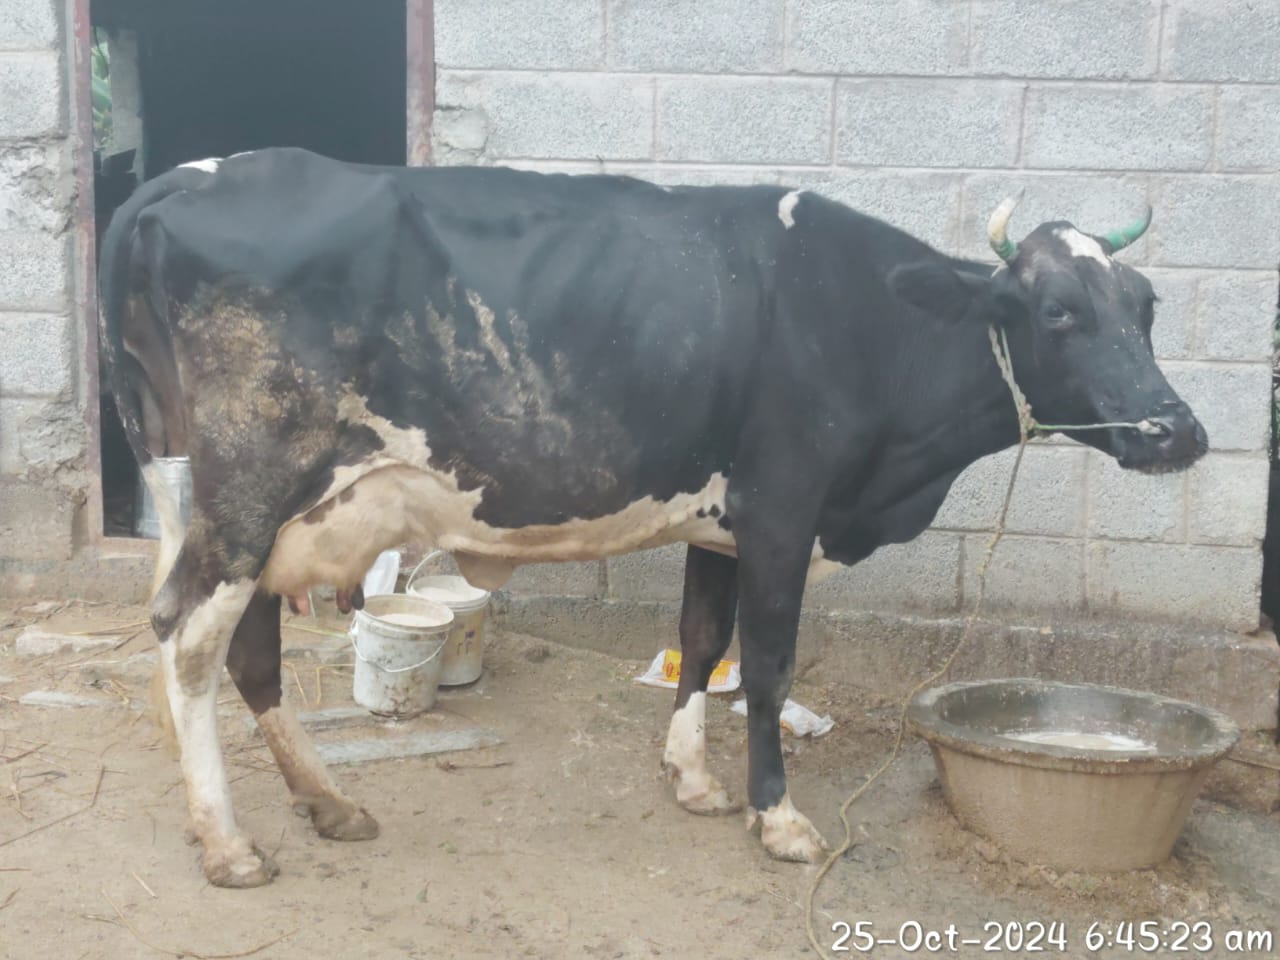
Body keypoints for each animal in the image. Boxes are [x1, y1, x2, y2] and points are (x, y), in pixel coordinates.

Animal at [98, 147, 1207, 887]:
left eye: (1148, 307)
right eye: (1056, 312)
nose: (1176, 429)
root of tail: (185, 178)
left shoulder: (721, 519)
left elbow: (701, 639)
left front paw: (691, 777)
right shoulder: (784, 508)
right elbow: (766, 667)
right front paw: (777, 816)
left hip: (239, 506)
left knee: (244, 654)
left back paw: (327, 802)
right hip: (250, 488)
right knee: (186, 640)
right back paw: (228, 841)